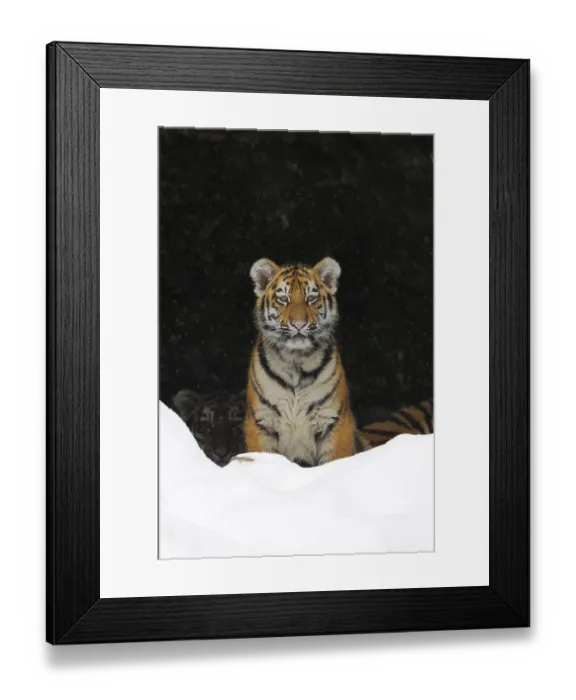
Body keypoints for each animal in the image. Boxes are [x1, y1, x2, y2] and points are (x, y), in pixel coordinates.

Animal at [244, 257, 367, 467]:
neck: (295, 360)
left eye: (311, 298)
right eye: (283, 299)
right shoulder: (262, 422)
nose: (299, 325)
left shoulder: (333, 421)